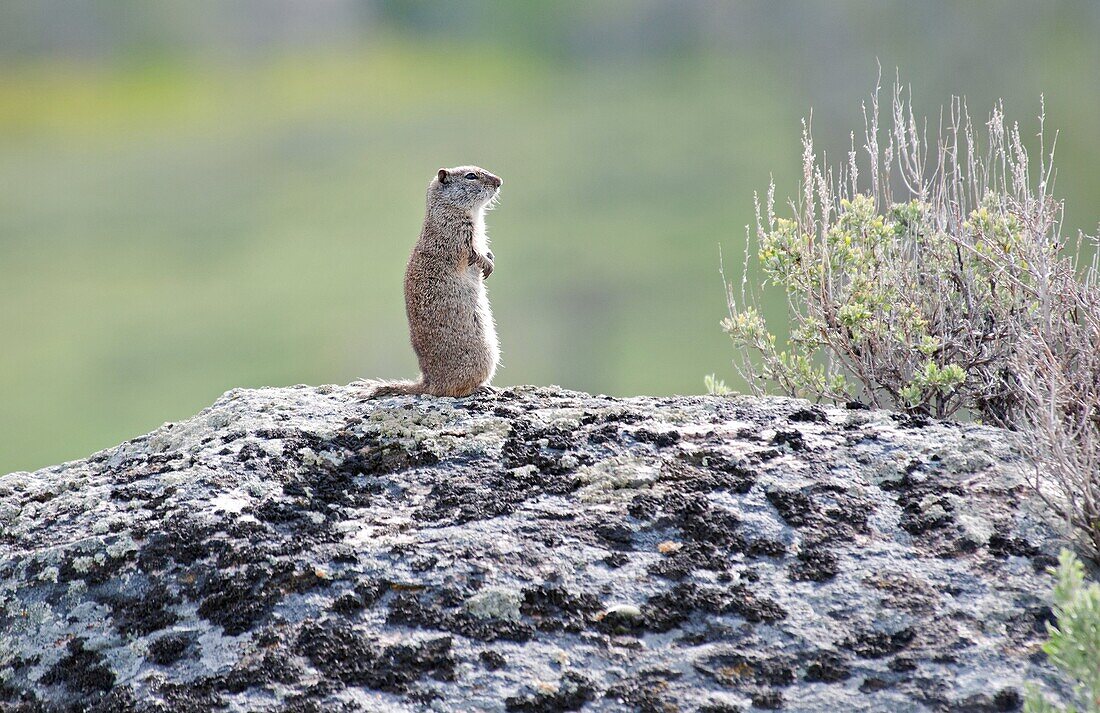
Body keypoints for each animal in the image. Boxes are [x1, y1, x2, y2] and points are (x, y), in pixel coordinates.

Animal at [369, 166, 506, 398]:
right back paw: (481, 388)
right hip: (484, 355)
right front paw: (487, 263)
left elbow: (484, 249)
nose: (500, 181)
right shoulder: (459, 234)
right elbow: (472, 253)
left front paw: (491, 258)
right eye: (471, 176)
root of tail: (429, 383)